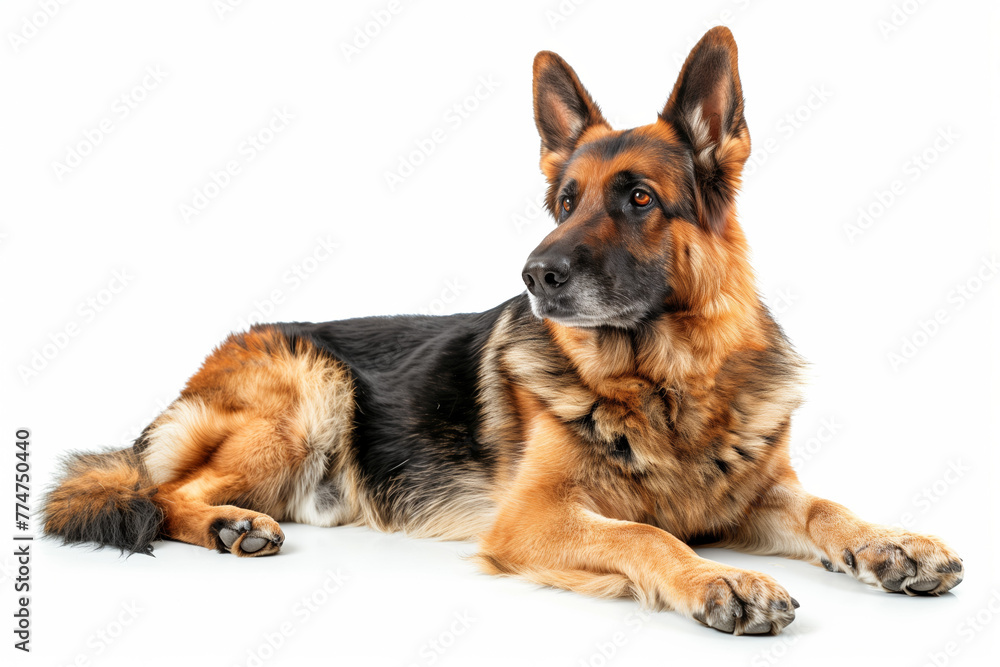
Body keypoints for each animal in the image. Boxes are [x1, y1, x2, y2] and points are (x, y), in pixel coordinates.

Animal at [45, 28, 960, 636]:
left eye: (638, 198)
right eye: (565, 202)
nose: (535, 273)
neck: (668, 382)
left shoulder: (760, 493)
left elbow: (829, 507)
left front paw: (893, 543)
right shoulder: (532, 517)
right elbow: (647, 530)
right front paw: (717, 578)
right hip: (308, 391)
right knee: (162, 491)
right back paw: (229, 524)